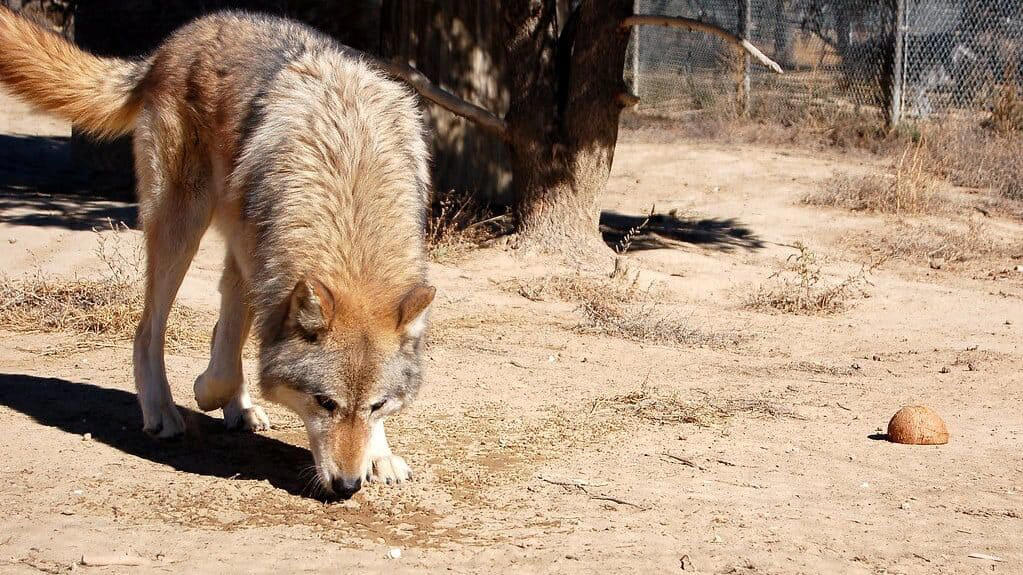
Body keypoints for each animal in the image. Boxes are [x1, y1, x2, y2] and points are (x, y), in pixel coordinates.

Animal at [0, 7, 435, 499]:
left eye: (376, 404)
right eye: (325, 403)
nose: (347, 486)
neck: (349, 183)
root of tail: (173, 43)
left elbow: (236, 343)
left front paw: (379, 454)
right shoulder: (258, 260)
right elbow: (226, 363)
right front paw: (207, 392)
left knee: (219, 327)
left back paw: (240, 409)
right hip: (181, 227)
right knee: (149, 331)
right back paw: (163, 410)